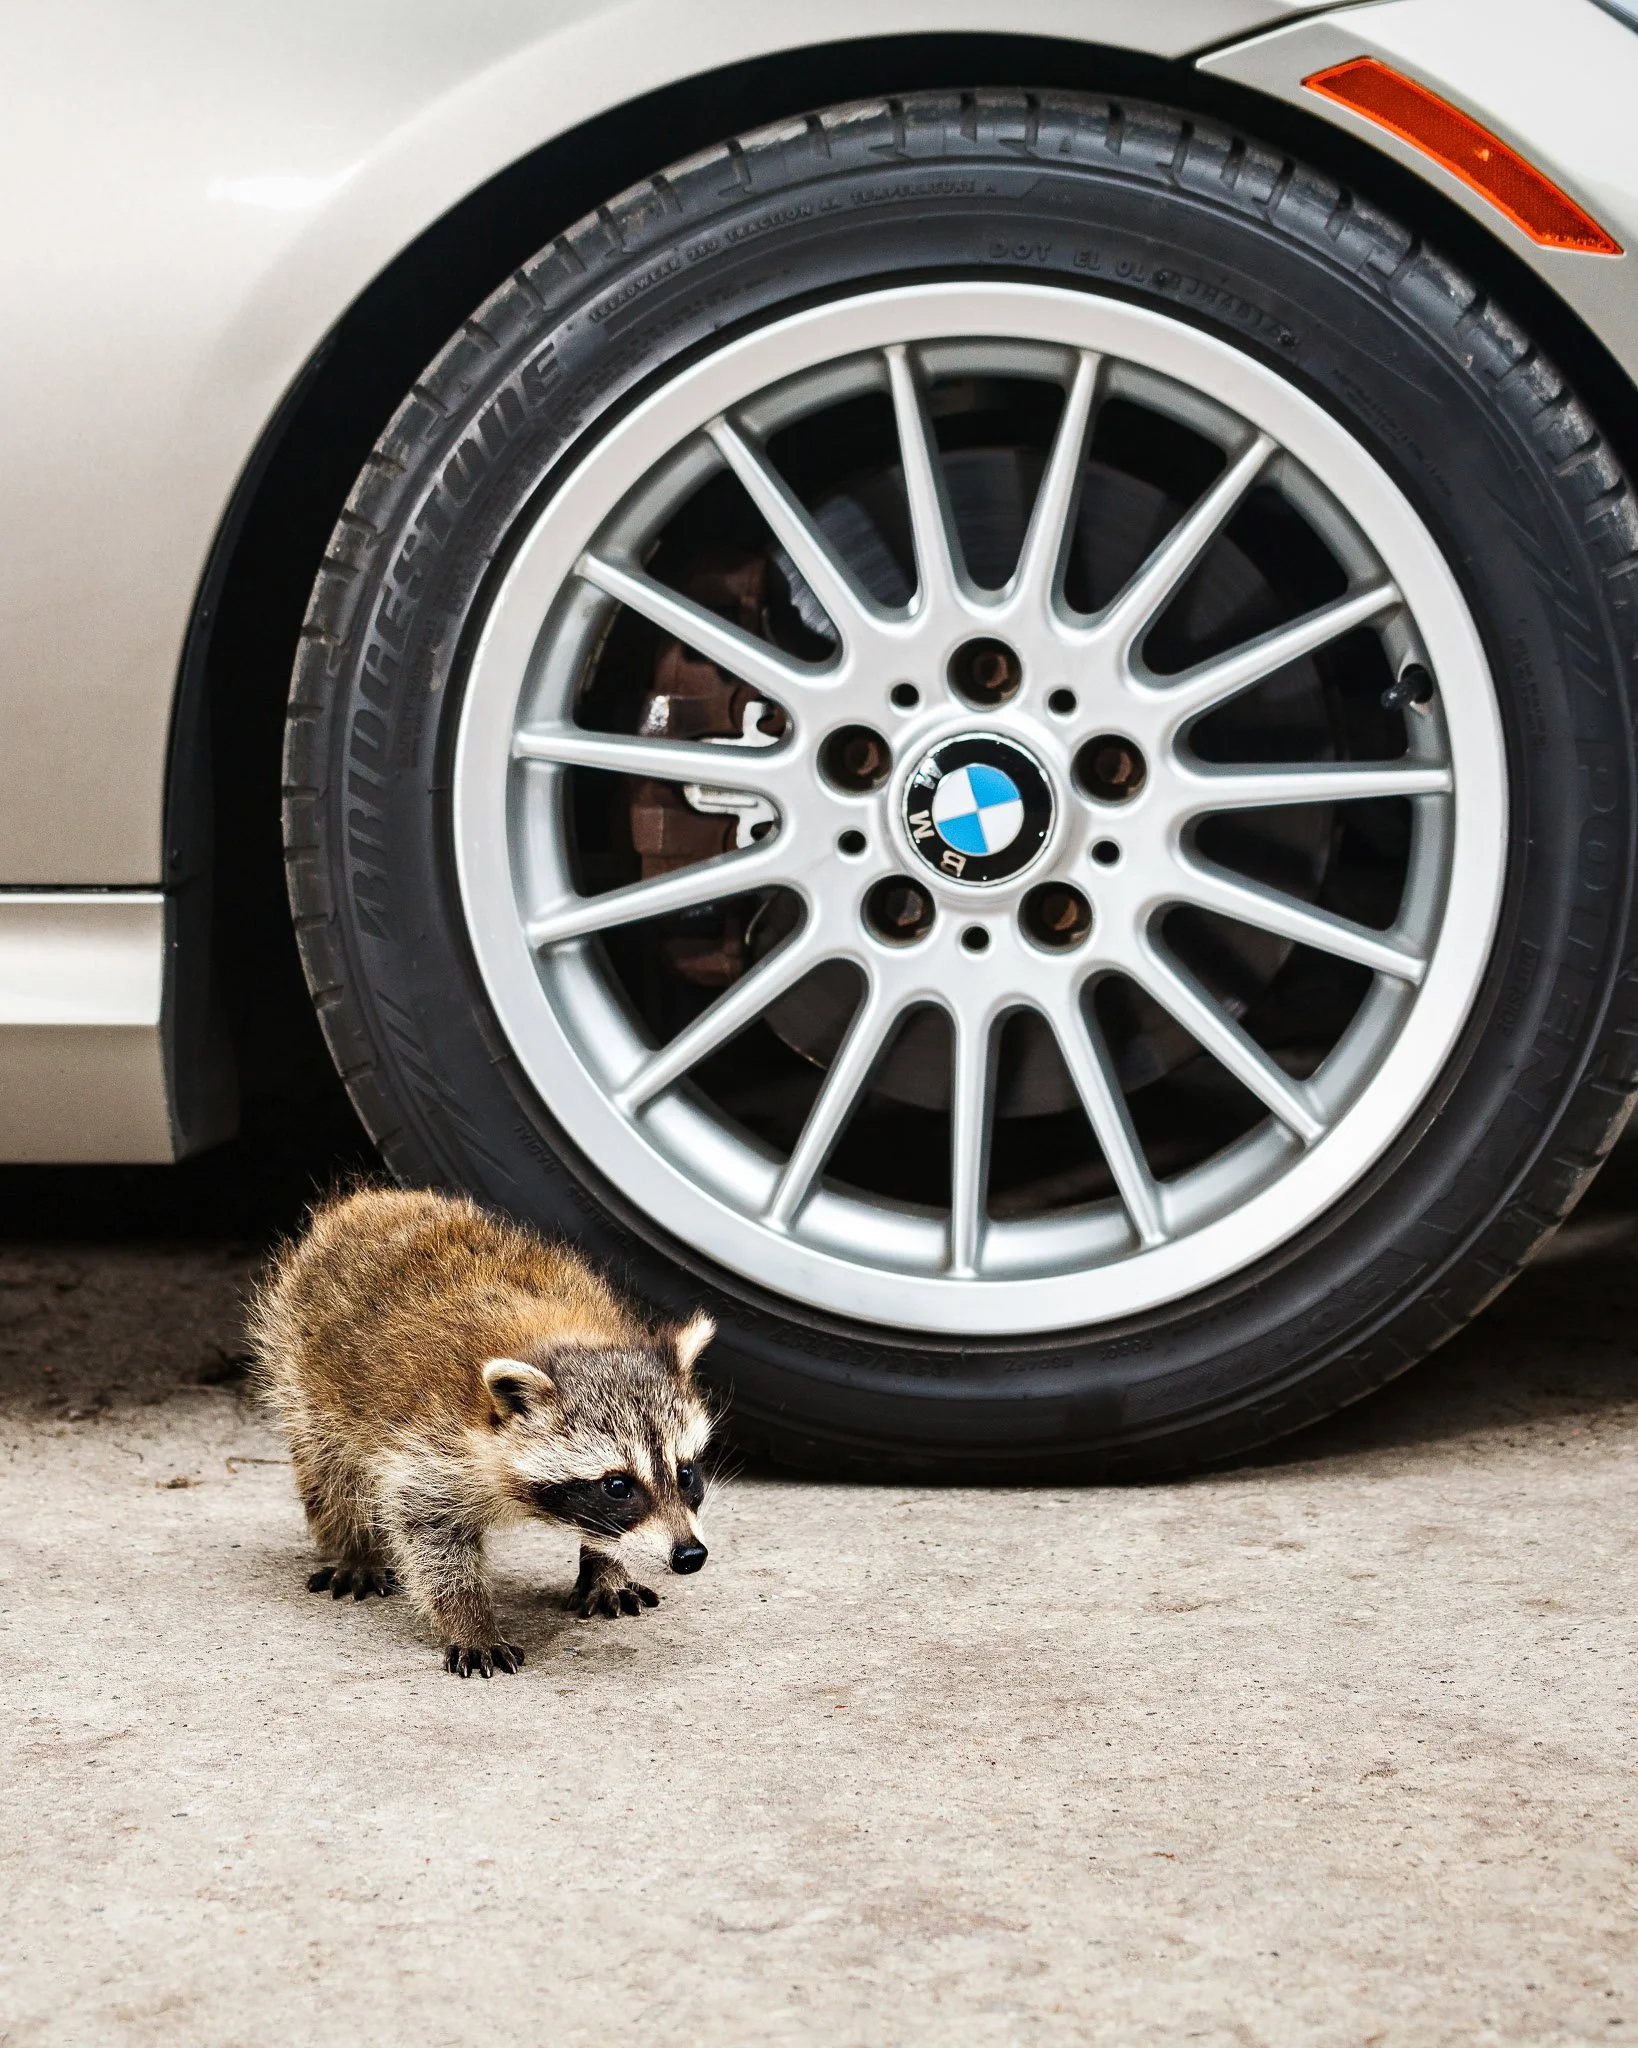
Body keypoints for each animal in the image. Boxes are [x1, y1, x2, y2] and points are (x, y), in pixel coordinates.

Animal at [248, 1187, 715, 1676]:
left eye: (685, 1474)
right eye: (618, 1486)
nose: (689, 1556)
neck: (563, 1338)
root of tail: (376, 1200)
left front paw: (606, 1566)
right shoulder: (431, 1445)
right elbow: (431, 1537)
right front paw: (470, 1619)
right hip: (303, 1371)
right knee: (331, 1472)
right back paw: (354, 1547)